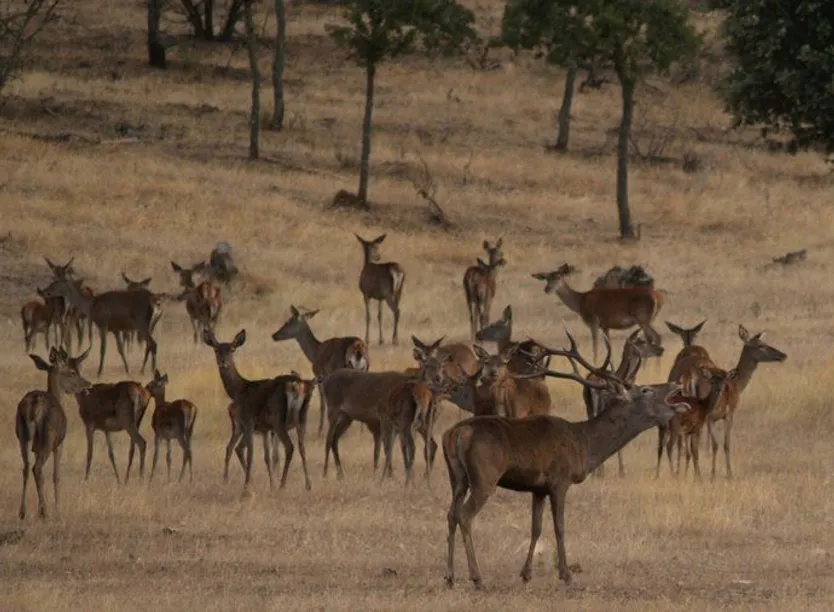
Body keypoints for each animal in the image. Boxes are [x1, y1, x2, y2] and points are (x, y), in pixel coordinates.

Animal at [16, 348, 92, 520]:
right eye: (72, 372)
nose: (88, 384)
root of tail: (34, 404)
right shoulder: (60, 444)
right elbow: (56, 475)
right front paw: (58, 509)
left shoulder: (36, 447)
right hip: (48, 438)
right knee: (37, 468)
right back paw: (45, 512)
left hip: (22, 436)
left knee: (26, 467)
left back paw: (23, 512)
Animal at [203, 329, 312, 493]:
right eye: (216, 349)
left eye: (232, 349)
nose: (223, 362)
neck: (239, 390)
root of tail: (295, 385)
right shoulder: (264, 429)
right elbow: (266, 456)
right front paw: (270, 485)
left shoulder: (248, 422)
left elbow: (251, 454)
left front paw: (246, 487)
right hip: (302, 418)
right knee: (302, 447)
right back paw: (307, 485)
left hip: (278, 419)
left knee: (289, 446)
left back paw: (283, 485)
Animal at [271, 305, 370, 436]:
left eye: (288, 322)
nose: (274, 335)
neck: (315, 351)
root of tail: (358, 347)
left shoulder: (320, 376)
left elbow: (323, 403)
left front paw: (320, 431)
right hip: (365, 371)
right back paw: (361, 430)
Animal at [531, 263, 664, 363]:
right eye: (546, 278)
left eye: (558, 277)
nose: (547, 289)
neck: (580, 302)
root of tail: (659, 298)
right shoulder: (605, 326)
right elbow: (608, 348)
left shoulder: (593, 321)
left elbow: (595, 346)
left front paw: (595, 363)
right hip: (647, 319)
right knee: (650, 340)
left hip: (643, 318)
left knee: (657, 337)